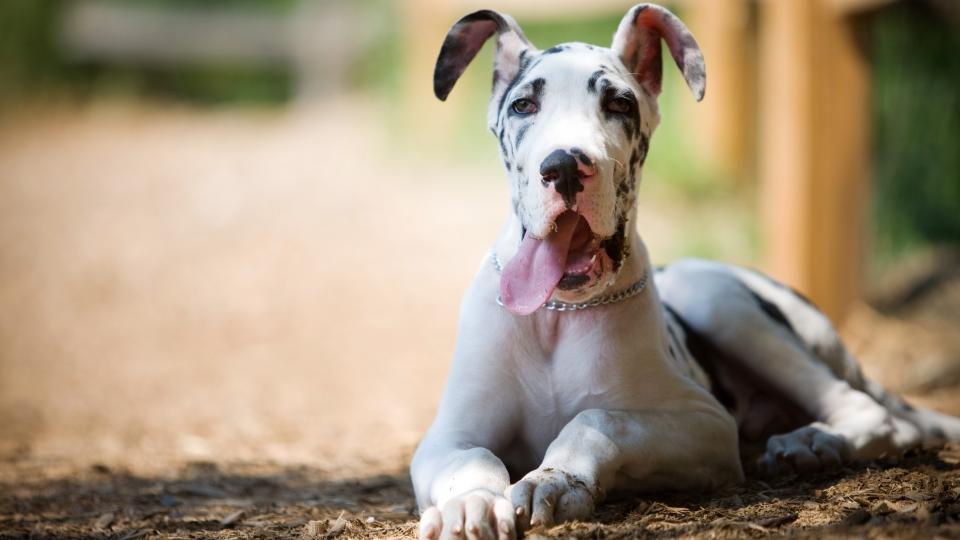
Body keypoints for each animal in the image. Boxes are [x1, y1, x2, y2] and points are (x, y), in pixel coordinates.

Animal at [410, 3, 960, 536]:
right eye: (523, 105)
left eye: (619, 105)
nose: (564, 166)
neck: (558, 315)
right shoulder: (446, 437)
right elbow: (474, 459)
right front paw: (471, 502)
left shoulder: (704, 423)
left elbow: (599, 418)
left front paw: (557, 478)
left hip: (720, 302)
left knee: (872, 412)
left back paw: (813, 440)